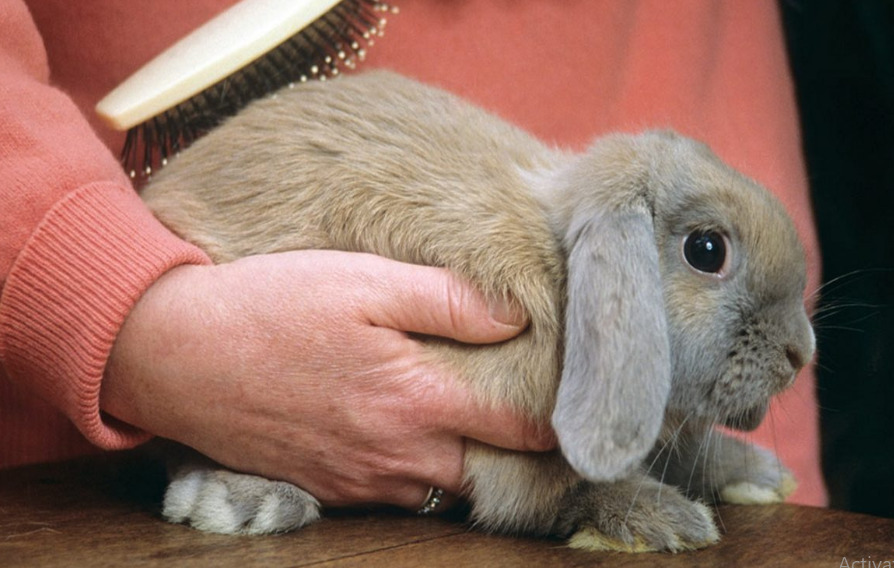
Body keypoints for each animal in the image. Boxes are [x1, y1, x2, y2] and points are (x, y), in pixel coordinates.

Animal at [142, 69, 820, 552]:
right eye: (707, 250)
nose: (801, 351)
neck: (560, 271)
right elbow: (557, 490)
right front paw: (666, 520)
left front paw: (758, 476)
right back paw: (244, 500)